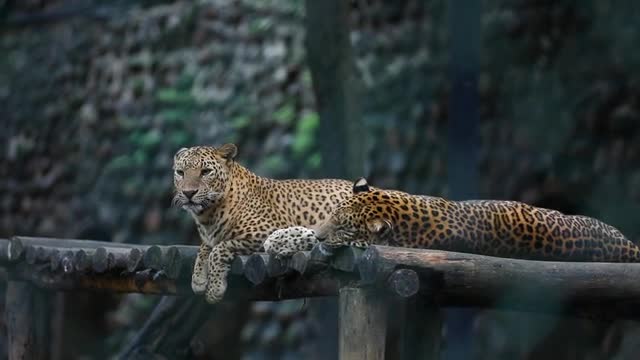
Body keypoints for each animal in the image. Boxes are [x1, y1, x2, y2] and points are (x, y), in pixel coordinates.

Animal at [172, 143, 358, 304]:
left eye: (206, 172)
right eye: (180, 172)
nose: (188, 193)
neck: (208, 216)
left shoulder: (266, 232)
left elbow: (220, 248)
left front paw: (214, 289)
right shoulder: (209, 237)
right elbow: (204, 248)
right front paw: (198, 279)